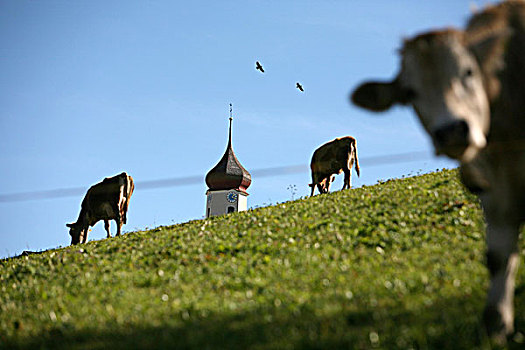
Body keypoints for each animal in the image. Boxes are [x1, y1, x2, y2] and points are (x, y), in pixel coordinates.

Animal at [350, 0, 524, 344]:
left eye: (468, 71)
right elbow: (497, 256)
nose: (452, 131)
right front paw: (496, 324)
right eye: (409, 92)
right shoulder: (495, 189)